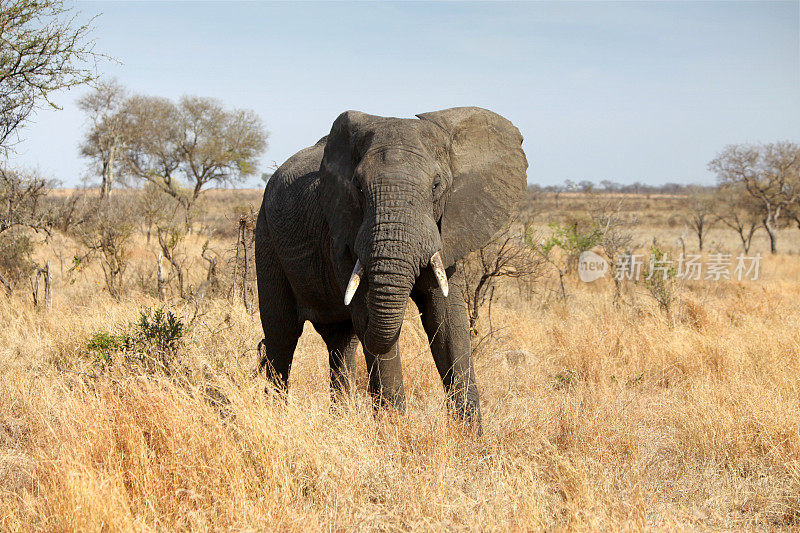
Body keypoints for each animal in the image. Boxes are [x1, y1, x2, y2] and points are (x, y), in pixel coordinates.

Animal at [256, 106, 528, 426]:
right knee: (282, 335)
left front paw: (470, 436)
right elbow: (367, 315)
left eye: (437, 186)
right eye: (358, 187)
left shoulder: (447, 230)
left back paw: (340, 419)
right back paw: (275, 417)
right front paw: (394, 430)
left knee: (341, 343)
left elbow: (449, 319)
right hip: (266, 237)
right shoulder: (346, 231)